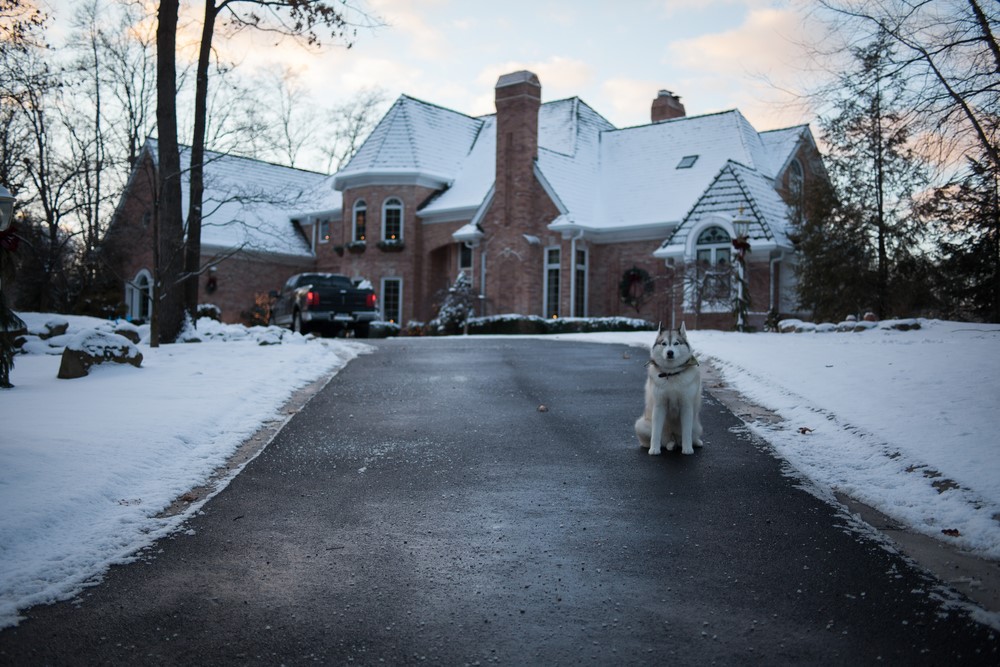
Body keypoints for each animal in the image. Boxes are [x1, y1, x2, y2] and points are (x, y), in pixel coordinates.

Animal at [632, 322, 704, 456]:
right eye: (664, 343)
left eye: (676, 343)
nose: (670, 352)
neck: (671, 374)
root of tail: (673, 438)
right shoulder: (659, 405)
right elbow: (656, 432)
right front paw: (654, 449)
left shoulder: (686, 406)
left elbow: (687, 431)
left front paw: (688, 449)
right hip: (640, 425)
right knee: (661, 442)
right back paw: (663, 445)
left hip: (697, 426)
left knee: (691, 434)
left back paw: (695, 442)